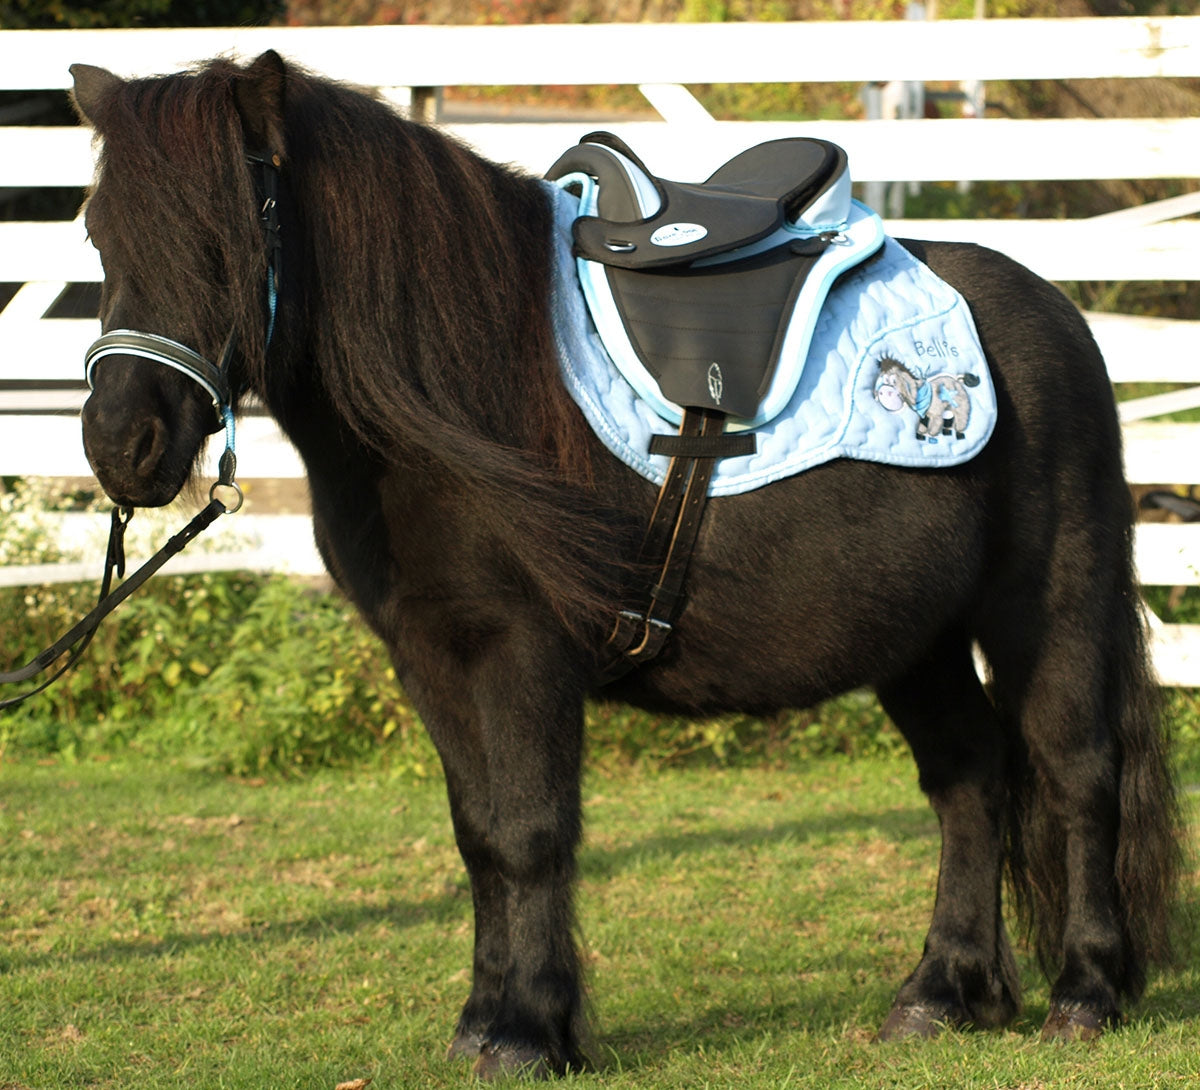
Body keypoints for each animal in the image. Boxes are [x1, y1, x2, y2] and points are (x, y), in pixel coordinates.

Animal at [72, 48, 1180, 1070]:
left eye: (223, 236)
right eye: (96, 234)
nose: (122, 443)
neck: (460, 384)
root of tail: (1057, 313)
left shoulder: (522, 653)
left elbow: (529, 833)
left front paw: (527, 1033)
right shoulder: (432, 655)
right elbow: (479, 835)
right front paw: (485, 1023)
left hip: (1050, 605)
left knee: (1078, 771)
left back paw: (1084, 993)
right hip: (918, 638)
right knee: (971, 778)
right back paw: (944, 993)